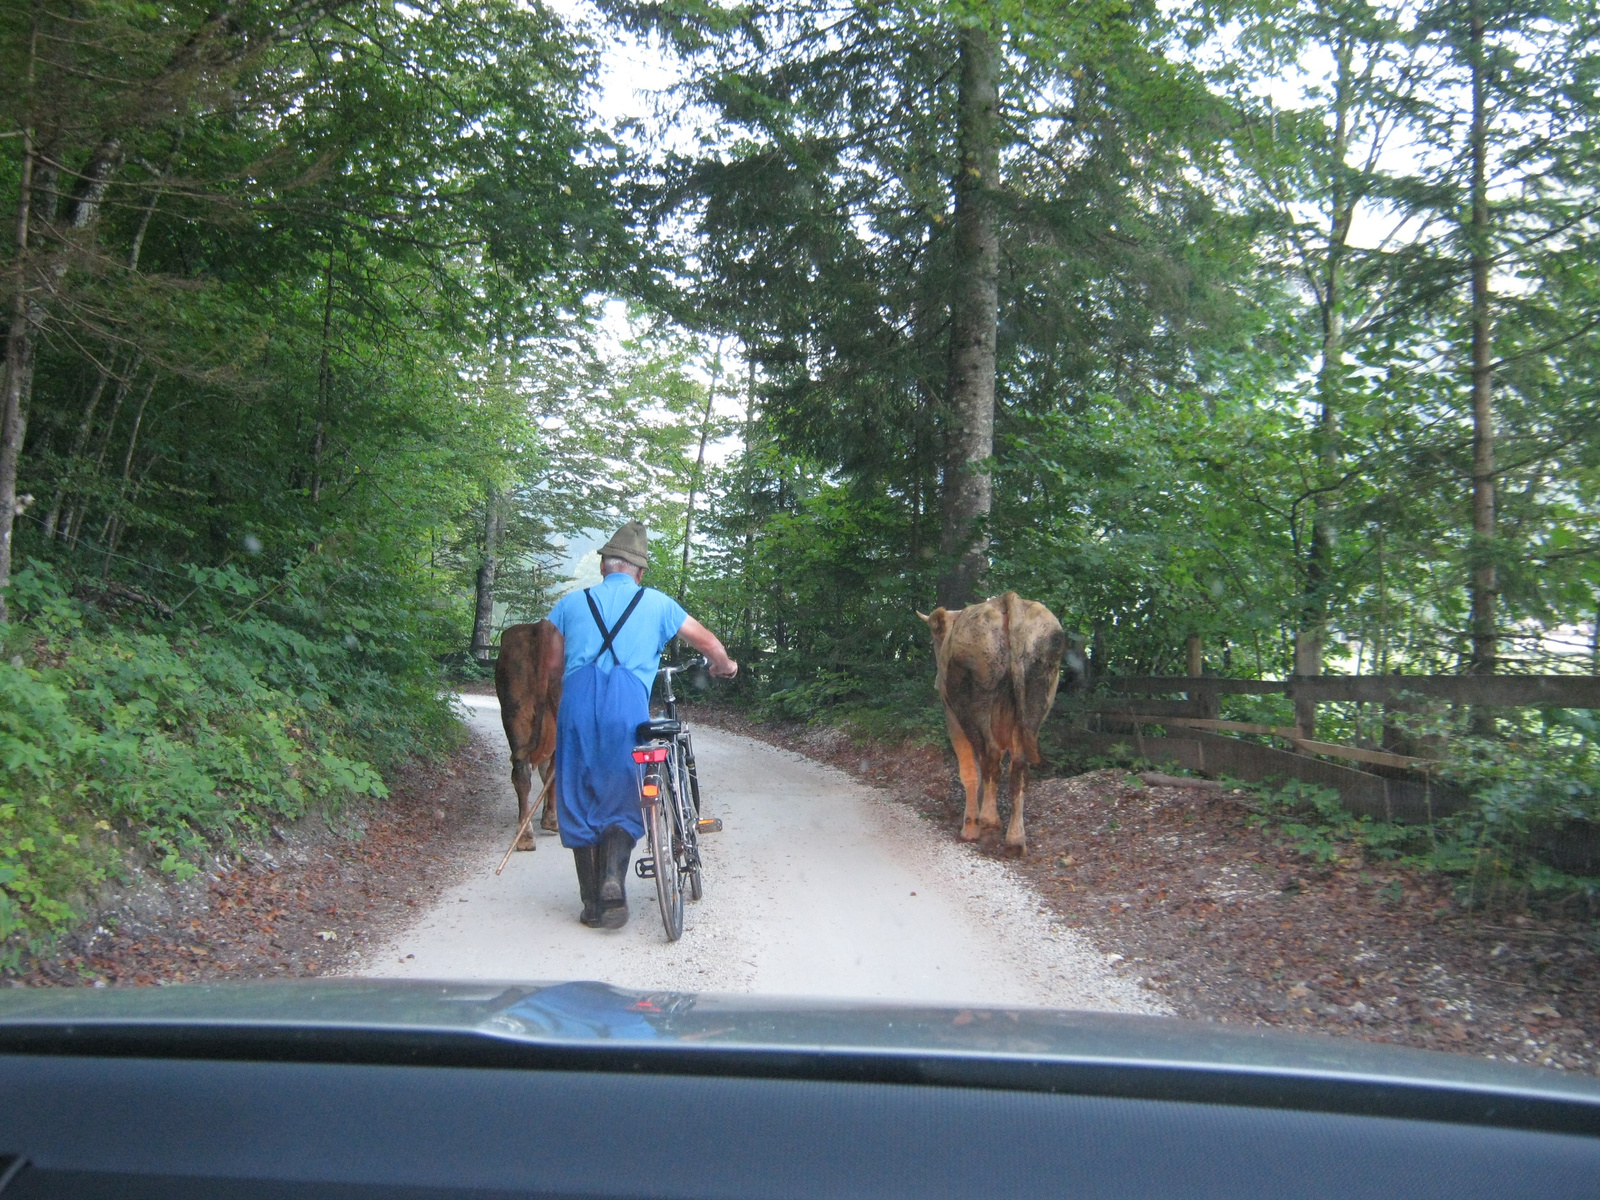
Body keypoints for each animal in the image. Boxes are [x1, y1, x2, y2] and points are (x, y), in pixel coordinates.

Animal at [496, 624, 566, 851]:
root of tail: (542, 626)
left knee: (521, 774)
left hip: (515, 711)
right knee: (554, 770)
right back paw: (551, 821)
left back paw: (525, 835)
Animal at [921, 592, 1068, 857]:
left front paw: (970, 826)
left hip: (976, 704)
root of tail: (1009, 599)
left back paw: (988, 823)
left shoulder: (952, 718)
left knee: (989, 757)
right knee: (1018, 767)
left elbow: (970, 772)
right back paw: (1015, 840)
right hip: (1036, 700)